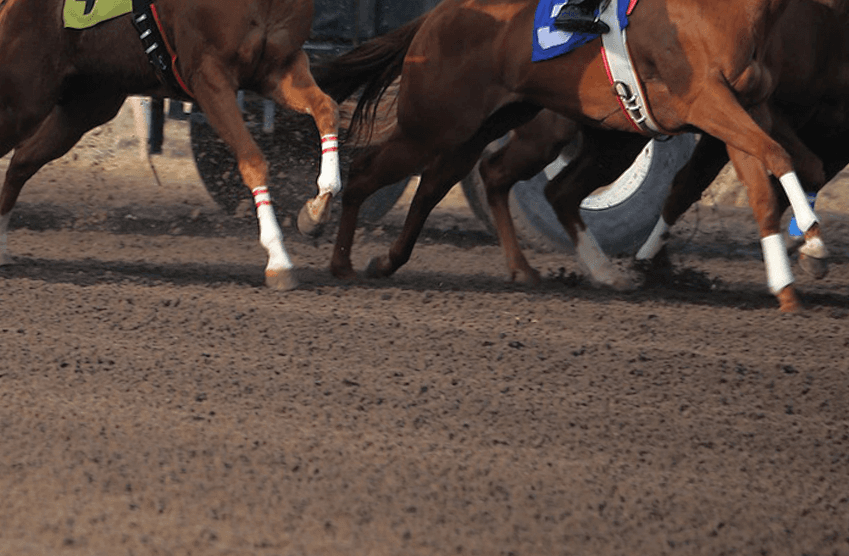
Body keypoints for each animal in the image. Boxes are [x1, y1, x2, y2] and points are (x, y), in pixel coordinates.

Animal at [0, 0, 341, 290]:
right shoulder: (208, 75)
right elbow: (253, 159)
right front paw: (279, 259)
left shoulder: (279, 67)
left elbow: (327, 109)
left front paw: (315, 213)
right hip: (25, 96)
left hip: (85, 105)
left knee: (22, 162)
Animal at [315, 0, 824, 312]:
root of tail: (435, 15)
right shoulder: (706, 101)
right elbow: (779, 156)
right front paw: (813, 243)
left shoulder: (747, 106)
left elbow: (779, 178)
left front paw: (790, 279)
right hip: (434, 123)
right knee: (368, 173)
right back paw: (336, 254)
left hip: (489, 127)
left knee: (457, 183)